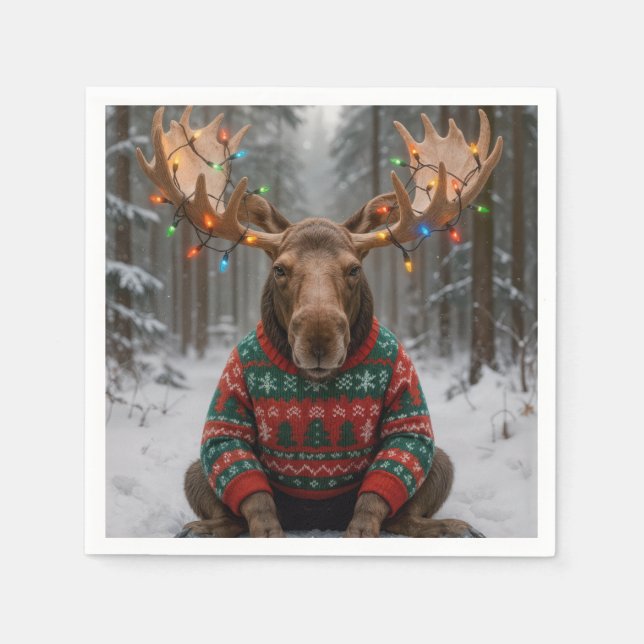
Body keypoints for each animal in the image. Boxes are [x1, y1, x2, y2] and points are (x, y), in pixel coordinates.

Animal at [137, 106, 503, 538]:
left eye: (354, 269)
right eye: (279, 269)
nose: (319, 341)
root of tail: (316, 519)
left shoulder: (407, 399)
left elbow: (381, 489)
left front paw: (359, 533)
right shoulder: (229, 400)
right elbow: (250, 491)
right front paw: (268, 534)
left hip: (441, 463)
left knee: (405, 513)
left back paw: (454, 526)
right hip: (195, 472)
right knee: (226, 508)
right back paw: (199, 528)